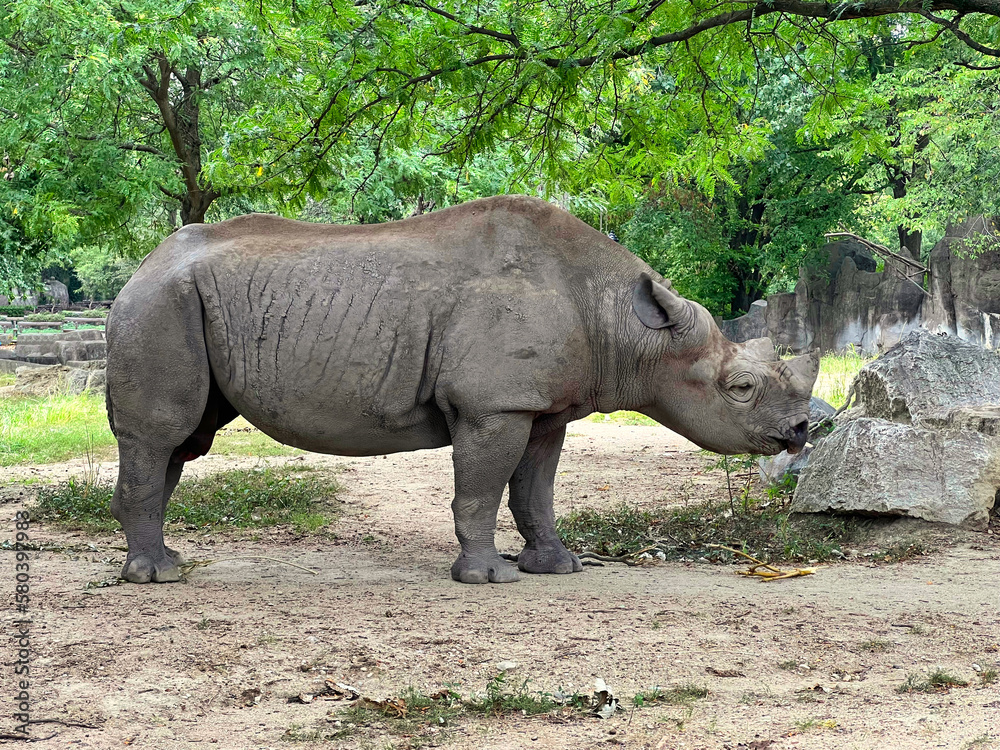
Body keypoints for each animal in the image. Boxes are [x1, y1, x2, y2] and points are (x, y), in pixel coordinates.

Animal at [106, 195, 818, 584]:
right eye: (740, 387)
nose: (801, 431)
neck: (624, 323)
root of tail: (141, 267)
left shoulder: (544, 407)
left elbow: (535, 489)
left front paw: (556, 566)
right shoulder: (492, 405)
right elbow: (481, 486)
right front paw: (488, 575)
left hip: (177, 302)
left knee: (185, 442)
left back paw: (166, 561)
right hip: (159, 305)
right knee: (162, 435)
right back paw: (156, 576)